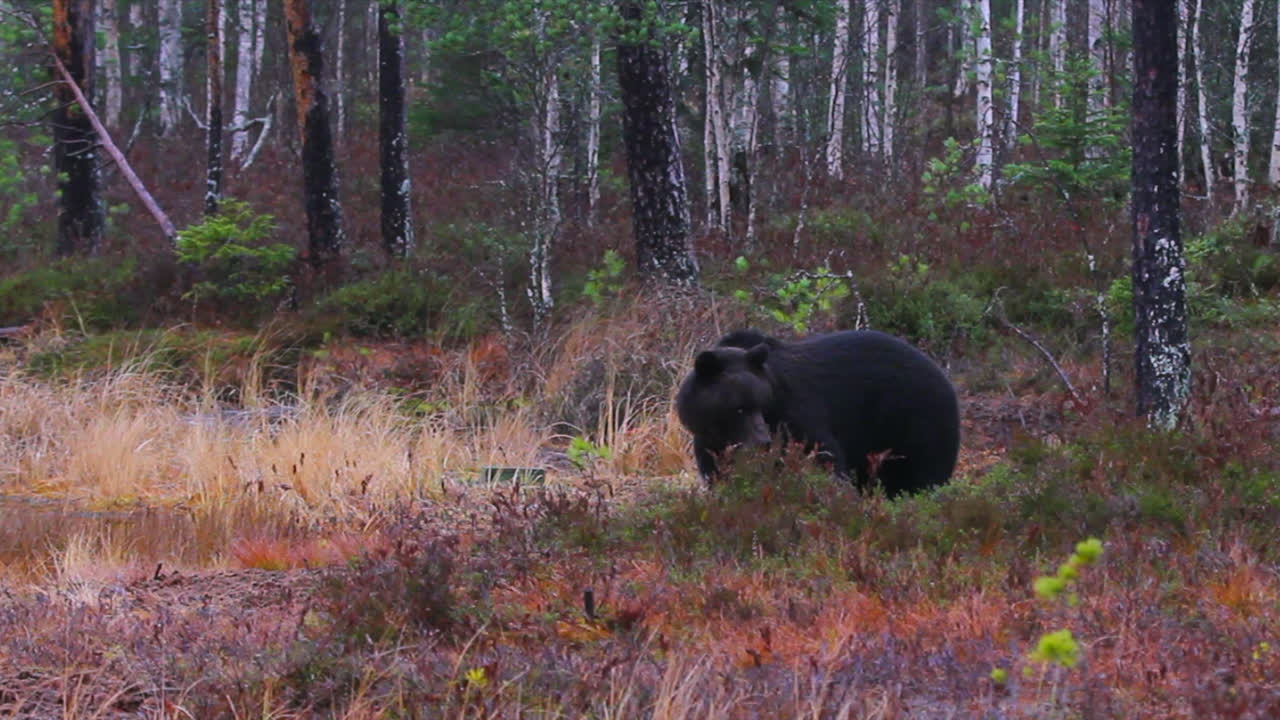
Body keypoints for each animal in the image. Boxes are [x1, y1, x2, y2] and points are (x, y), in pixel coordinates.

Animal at [675, 329, 960, 497]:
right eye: (739, 408)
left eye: (761, 405)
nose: (763, 441)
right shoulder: (709, 442)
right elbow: (717, 472)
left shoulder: (792, 413)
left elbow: (820, 453)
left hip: (915, 420)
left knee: (923, 470)